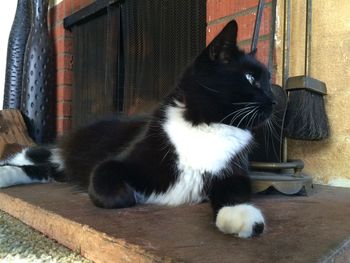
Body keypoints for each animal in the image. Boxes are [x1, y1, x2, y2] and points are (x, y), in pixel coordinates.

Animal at [0, 20, 274, 239]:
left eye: (269, 82)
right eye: (251, 79)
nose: (275, 101)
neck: (207, 126)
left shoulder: (234, 170)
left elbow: (236, 190)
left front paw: (240, 215)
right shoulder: (119, 161)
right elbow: (107, 184)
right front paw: (132, 195)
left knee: (43, 169)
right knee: (36, 156)